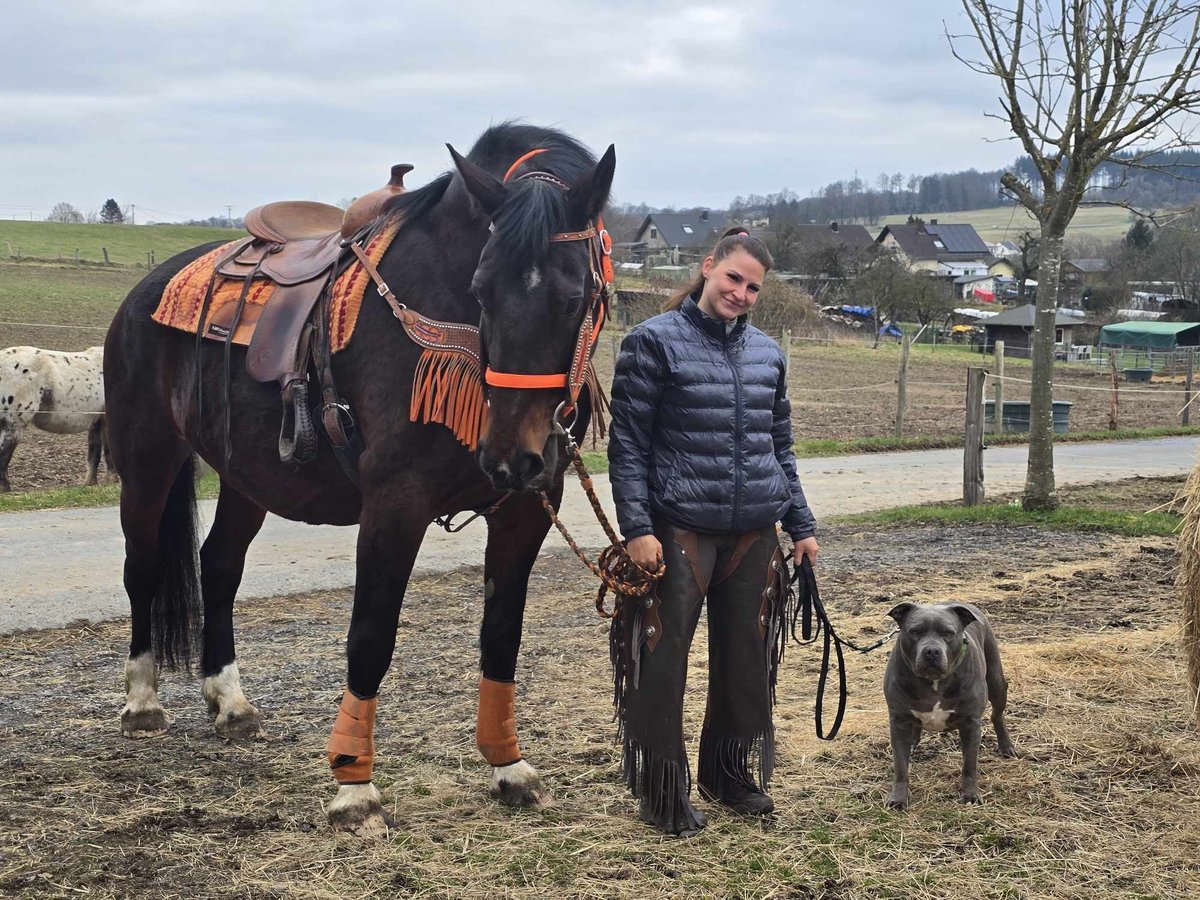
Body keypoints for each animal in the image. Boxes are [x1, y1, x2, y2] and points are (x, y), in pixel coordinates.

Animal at [0, 348, 111, 494]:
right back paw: (5, 488)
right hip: (14, 424)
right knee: (4, 451)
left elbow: (95, 452)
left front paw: (90, 483)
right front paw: (112, 481)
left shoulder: (96, 421)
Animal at [103, 121, 619, 840]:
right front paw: (354, 783)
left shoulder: (524, 512)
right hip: (148, 460)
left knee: (220, 565)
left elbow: (501, 638)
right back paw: (143, 700)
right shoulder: (394, 503)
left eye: (576, 298)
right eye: (482, 289)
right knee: (144, 568)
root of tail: (147, 288)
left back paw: (230, 701)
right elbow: (370, 637)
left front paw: (508, 765)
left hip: (246, 478)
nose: (513, 457)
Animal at [883, 607, 1012, 811]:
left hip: (997, 683)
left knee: (997, 715)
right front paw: (898, 799)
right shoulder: (899, 722)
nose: (931, 651)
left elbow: (969, 764)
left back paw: (1007, 747)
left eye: (948, 633)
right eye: (915, 631)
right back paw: (913, 743)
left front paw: (970, 795)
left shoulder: (970, 723)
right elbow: (901, 766)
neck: (934, 681)